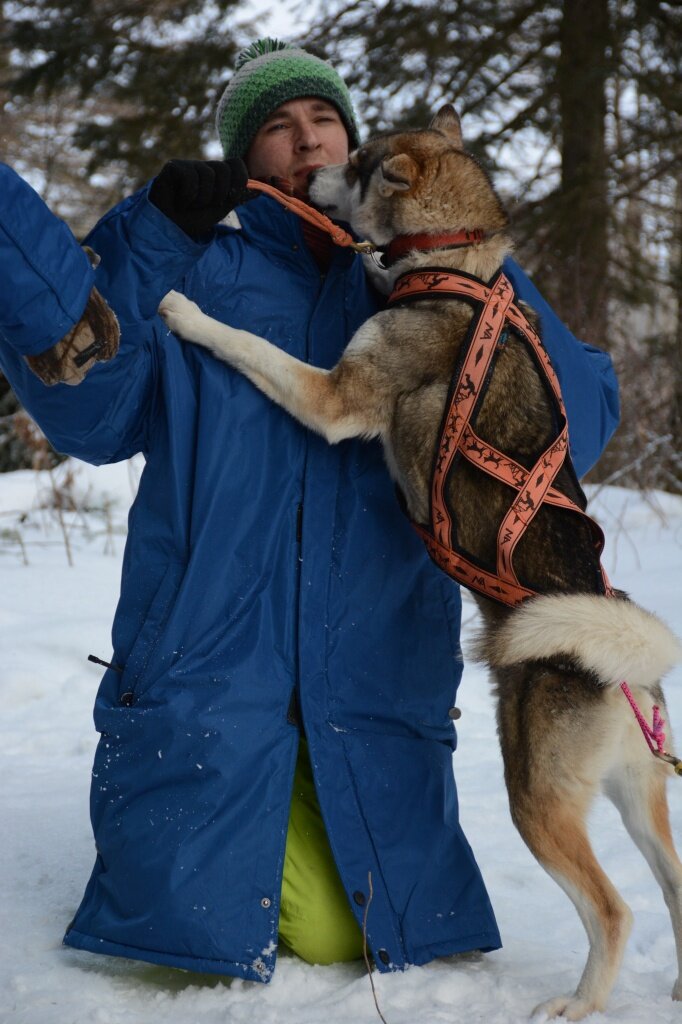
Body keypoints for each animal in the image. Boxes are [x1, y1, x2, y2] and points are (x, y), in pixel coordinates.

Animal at [156, 108, 675, 1019]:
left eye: (356, 163)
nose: (309, 178)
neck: (451, 263)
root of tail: (625, 669)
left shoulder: (335, 397)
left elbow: (249, 344)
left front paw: (187, 311)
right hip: (642, 802)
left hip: (537, 799)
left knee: (612, 911)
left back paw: (574, 1003)